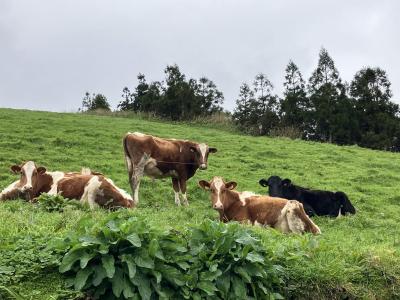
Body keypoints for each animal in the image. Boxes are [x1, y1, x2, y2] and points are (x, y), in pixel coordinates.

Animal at [0, 162, 134, 209]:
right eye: (21, 172)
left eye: (35, 173)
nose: (27, 187)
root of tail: (129, 200)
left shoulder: (51, 194)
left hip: (94, 185)